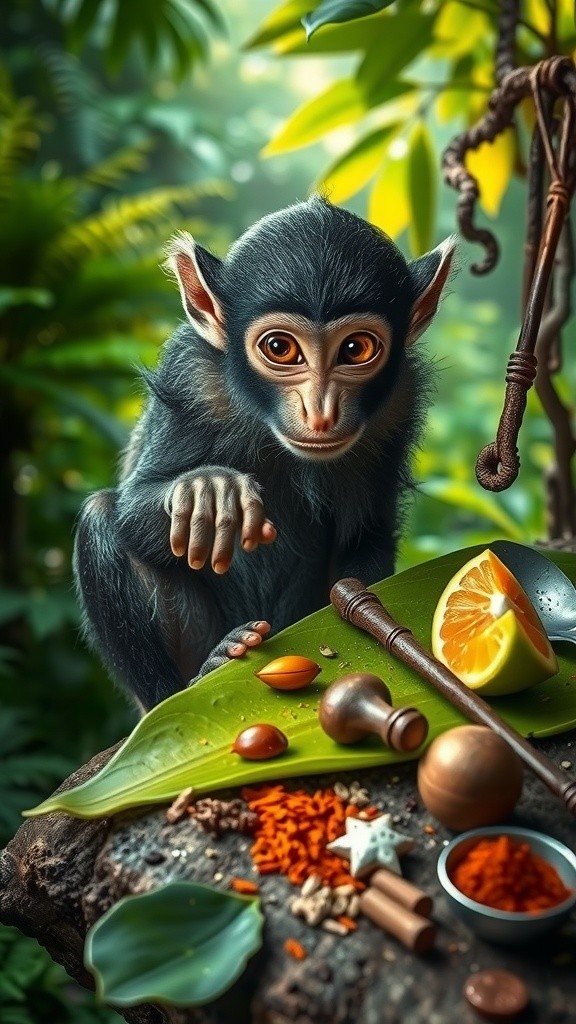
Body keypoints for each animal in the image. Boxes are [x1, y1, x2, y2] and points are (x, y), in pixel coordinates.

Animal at [73, 195, 455, 712]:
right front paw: (207, 492)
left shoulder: (397, 405)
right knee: (100, 516)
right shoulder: (189, 377)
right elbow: (133, 505)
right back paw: (204, 670)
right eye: (280, 347)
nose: (320, 411)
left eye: (356, 349)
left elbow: (366, 536)